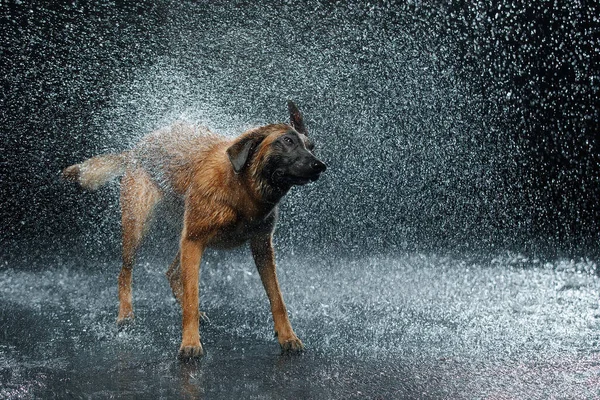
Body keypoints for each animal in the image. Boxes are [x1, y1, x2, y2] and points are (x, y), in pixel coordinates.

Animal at [63, 101, 326, 358]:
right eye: (287, 141)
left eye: (311, 146)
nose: (320, 165)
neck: (242, 190)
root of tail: (136, 149)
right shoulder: (194, 241)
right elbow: (192, 298)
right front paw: (190, 343)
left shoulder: (261, 247)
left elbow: (277, 298)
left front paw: (287, 337)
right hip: (139, 228)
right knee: (125, 272)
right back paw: (125, 315)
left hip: (185, 235)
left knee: (172, 272)